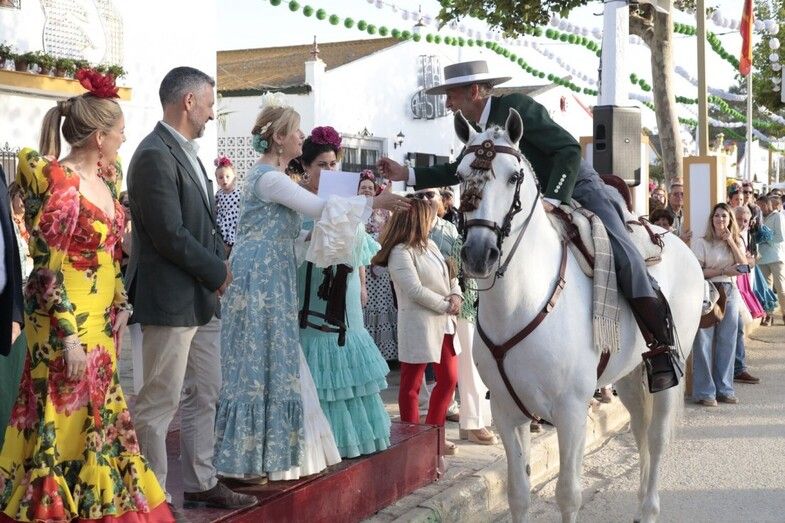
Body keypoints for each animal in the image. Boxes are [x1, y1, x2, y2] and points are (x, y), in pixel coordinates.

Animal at [454, 108, 704, 523]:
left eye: (513, 177)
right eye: (458, 175)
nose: (478, 253)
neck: (519, 302)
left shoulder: (571, 411)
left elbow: (568, 494)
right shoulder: (507, 412)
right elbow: (518, 494)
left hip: (667, 375)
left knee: (656, 438)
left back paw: (649, 508)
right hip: (631, 375)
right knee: (641, 432)